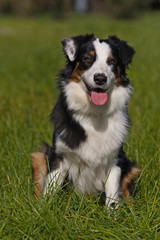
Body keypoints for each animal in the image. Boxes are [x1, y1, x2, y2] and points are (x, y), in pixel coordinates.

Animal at [30, 33, 139, 208]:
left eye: (111, 61)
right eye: (87, 59)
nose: (100, 78)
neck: (93, 113)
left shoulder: (115, 159)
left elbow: (112, 196)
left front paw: (112, 215)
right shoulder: (60, 156)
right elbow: (49, 190)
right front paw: (43, 211)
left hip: (131, 167)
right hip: (40, 155)